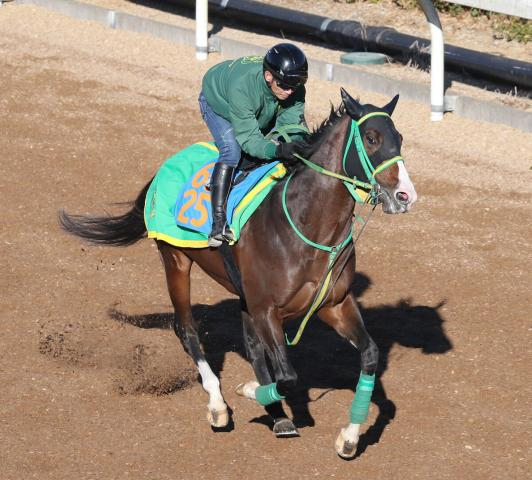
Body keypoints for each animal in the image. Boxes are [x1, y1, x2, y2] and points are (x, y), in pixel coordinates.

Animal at [58, 88, 416, 460]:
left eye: (400, 138)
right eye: (372, 138)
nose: (405, 195)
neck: (308, 228)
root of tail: (165, 166)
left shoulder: (334, 304)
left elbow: (369, 357)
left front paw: (348, 437)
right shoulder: (266, 309)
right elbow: (287, 376)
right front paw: (250, 390)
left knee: (251, 345)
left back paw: (276, 414)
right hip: (176, 261)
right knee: (186, 329)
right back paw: (218, 405)